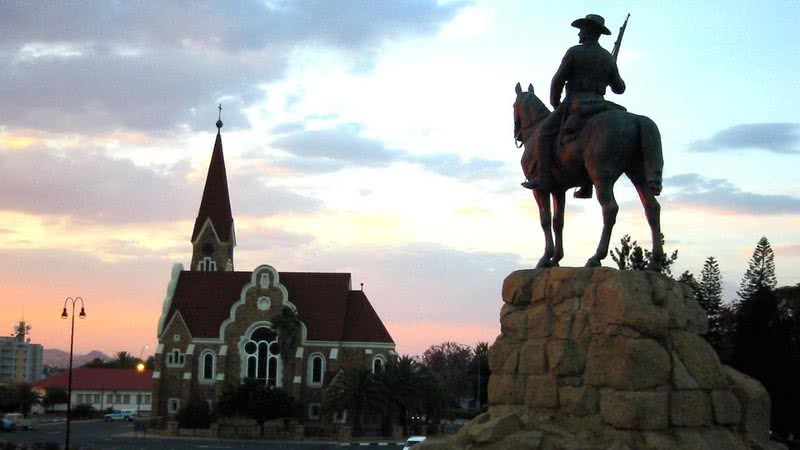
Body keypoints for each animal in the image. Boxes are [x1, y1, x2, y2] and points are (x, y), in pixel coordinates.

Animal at [516, 82, 664, 268]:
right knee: (652, 208)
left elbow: (545, 219)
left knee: (610, 209)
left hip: (602, 178)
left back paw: (596, 257)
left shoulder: (539, 189)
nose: (517, 135)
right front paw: (556, 259)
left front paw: (545, 258)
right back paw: (655, 262)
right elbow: (558, 222)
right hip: (638, 175)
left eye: (513, 106)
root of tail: (636, 119)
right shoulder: (558, 190)